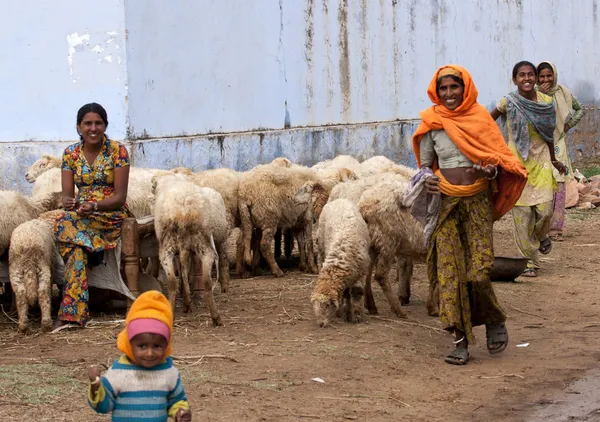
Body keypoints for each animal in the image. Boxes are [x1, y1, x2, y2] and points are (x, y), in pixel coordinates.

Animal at [152, 173, 230, 324]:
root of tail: (183, 210)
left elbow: (184, 272)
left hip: (170, 246)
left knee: (173, 281)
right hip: (203, 244)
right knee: (205, 280)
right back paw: (215, 316)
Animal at [312, 199, 372, 328]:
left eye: (328, 305)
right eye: (315, 305)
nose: (321, 324)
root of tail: (339, 199)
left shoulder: (361, 273)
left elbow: (357, 292)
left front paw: (357, 316)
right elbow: (345, 293)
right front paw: (346, 313)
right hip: (322, 248)